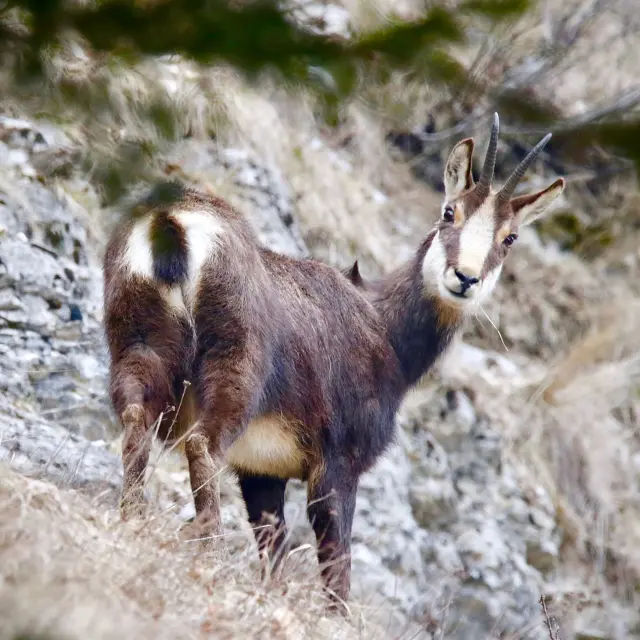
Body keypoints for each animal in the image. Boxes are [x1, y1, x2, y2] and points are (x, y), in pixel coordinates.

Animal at [103, 113, 564, 609]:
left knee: (135, 416)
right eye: (449, 212)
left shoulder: (261, 468)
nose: (465, 278)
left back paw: (132, 514)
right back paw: (208, 546)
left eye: (509, 237)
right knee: (202, 445)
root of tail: (174, 222)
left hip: (138, 342)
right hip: (235, 368)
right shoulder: (339, 462)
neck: (386, 334)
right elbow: (336, 560)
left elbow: (273, 542)